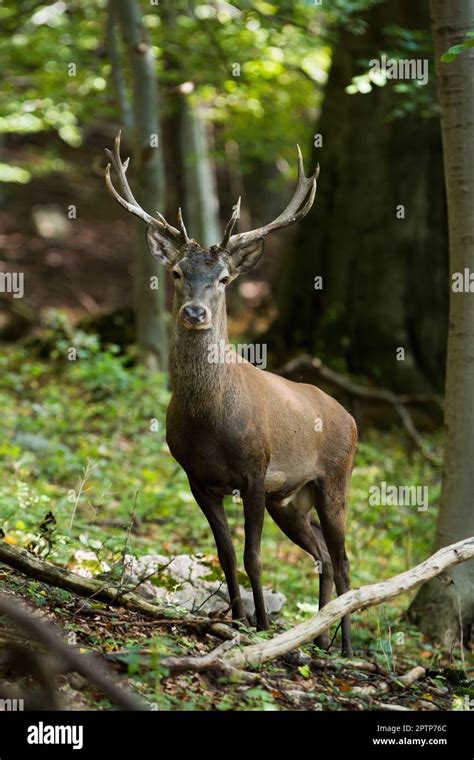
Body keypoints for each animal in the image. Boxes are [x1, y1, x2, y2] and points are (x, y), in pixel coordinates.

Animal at [103, 134, 356, 656]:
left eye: (223, 279)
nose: (196, 312)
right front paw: (236, 619)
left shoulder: (255, 472)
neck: (209, 424)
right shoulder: (197, 478)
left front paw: (259, 625)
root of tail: (351, 417)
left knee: (343, 560)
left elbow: (253, 554)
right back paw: (318, 637)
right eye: (177, 272)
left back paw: (344, 647)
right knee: (322, 553)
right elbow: (223, 554)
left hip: (333, 478)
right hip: (291, 499)